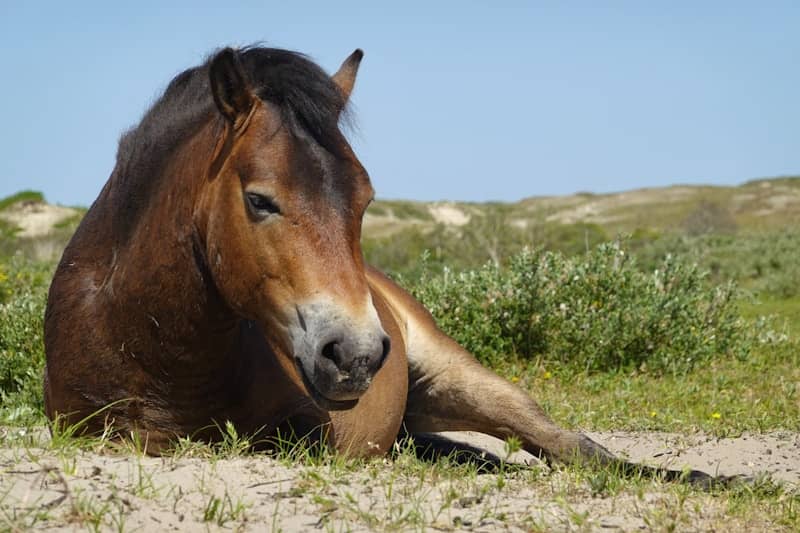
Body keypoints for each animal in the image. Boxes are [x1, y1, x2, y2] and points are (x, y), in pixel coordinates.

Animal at [44, 45, 719, 484]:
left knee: (569, 447)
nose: (357, 355)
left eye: (365, 199)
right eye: (260, 200)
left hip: (463, 380)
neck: (149, 349)